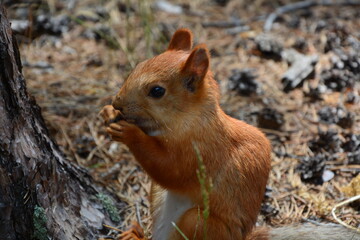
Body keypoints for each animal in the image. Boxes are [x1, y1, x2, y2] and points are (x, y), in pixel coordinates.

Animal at [100, 28, 360, 240]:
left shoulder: (203, 151)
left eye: (157, 91)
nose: (118, 103)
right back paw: (135, 235)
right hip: (158, 196)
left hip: (198, 223)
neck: (187, 119)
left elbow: (170, 169)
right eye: (137, 67)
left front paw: (130, 133)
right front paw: (108, 112)